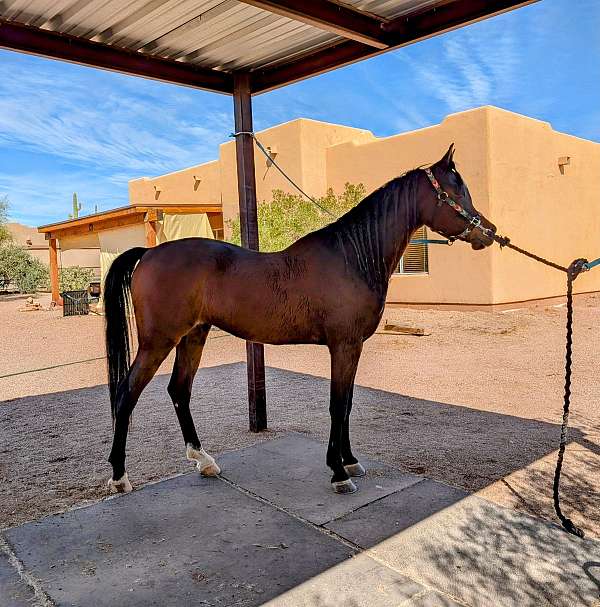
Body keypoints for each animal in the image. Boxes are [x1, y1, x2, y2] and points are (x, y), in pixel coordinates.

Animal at [104, 145, 496, 496]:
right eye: (454, 191)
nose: (489, 232)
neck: (351, 256)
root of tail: (149, 252)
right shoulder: (344, 345)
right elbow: (337, 405)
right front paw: (339, 473)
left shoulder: (352, 348)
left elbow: (347, 404)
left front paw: (350, 461)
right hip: (158, 341)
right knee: (127, 392)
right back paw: (120, 477)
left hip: (193, 336)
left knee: (179, 391)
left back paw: (204, 461)